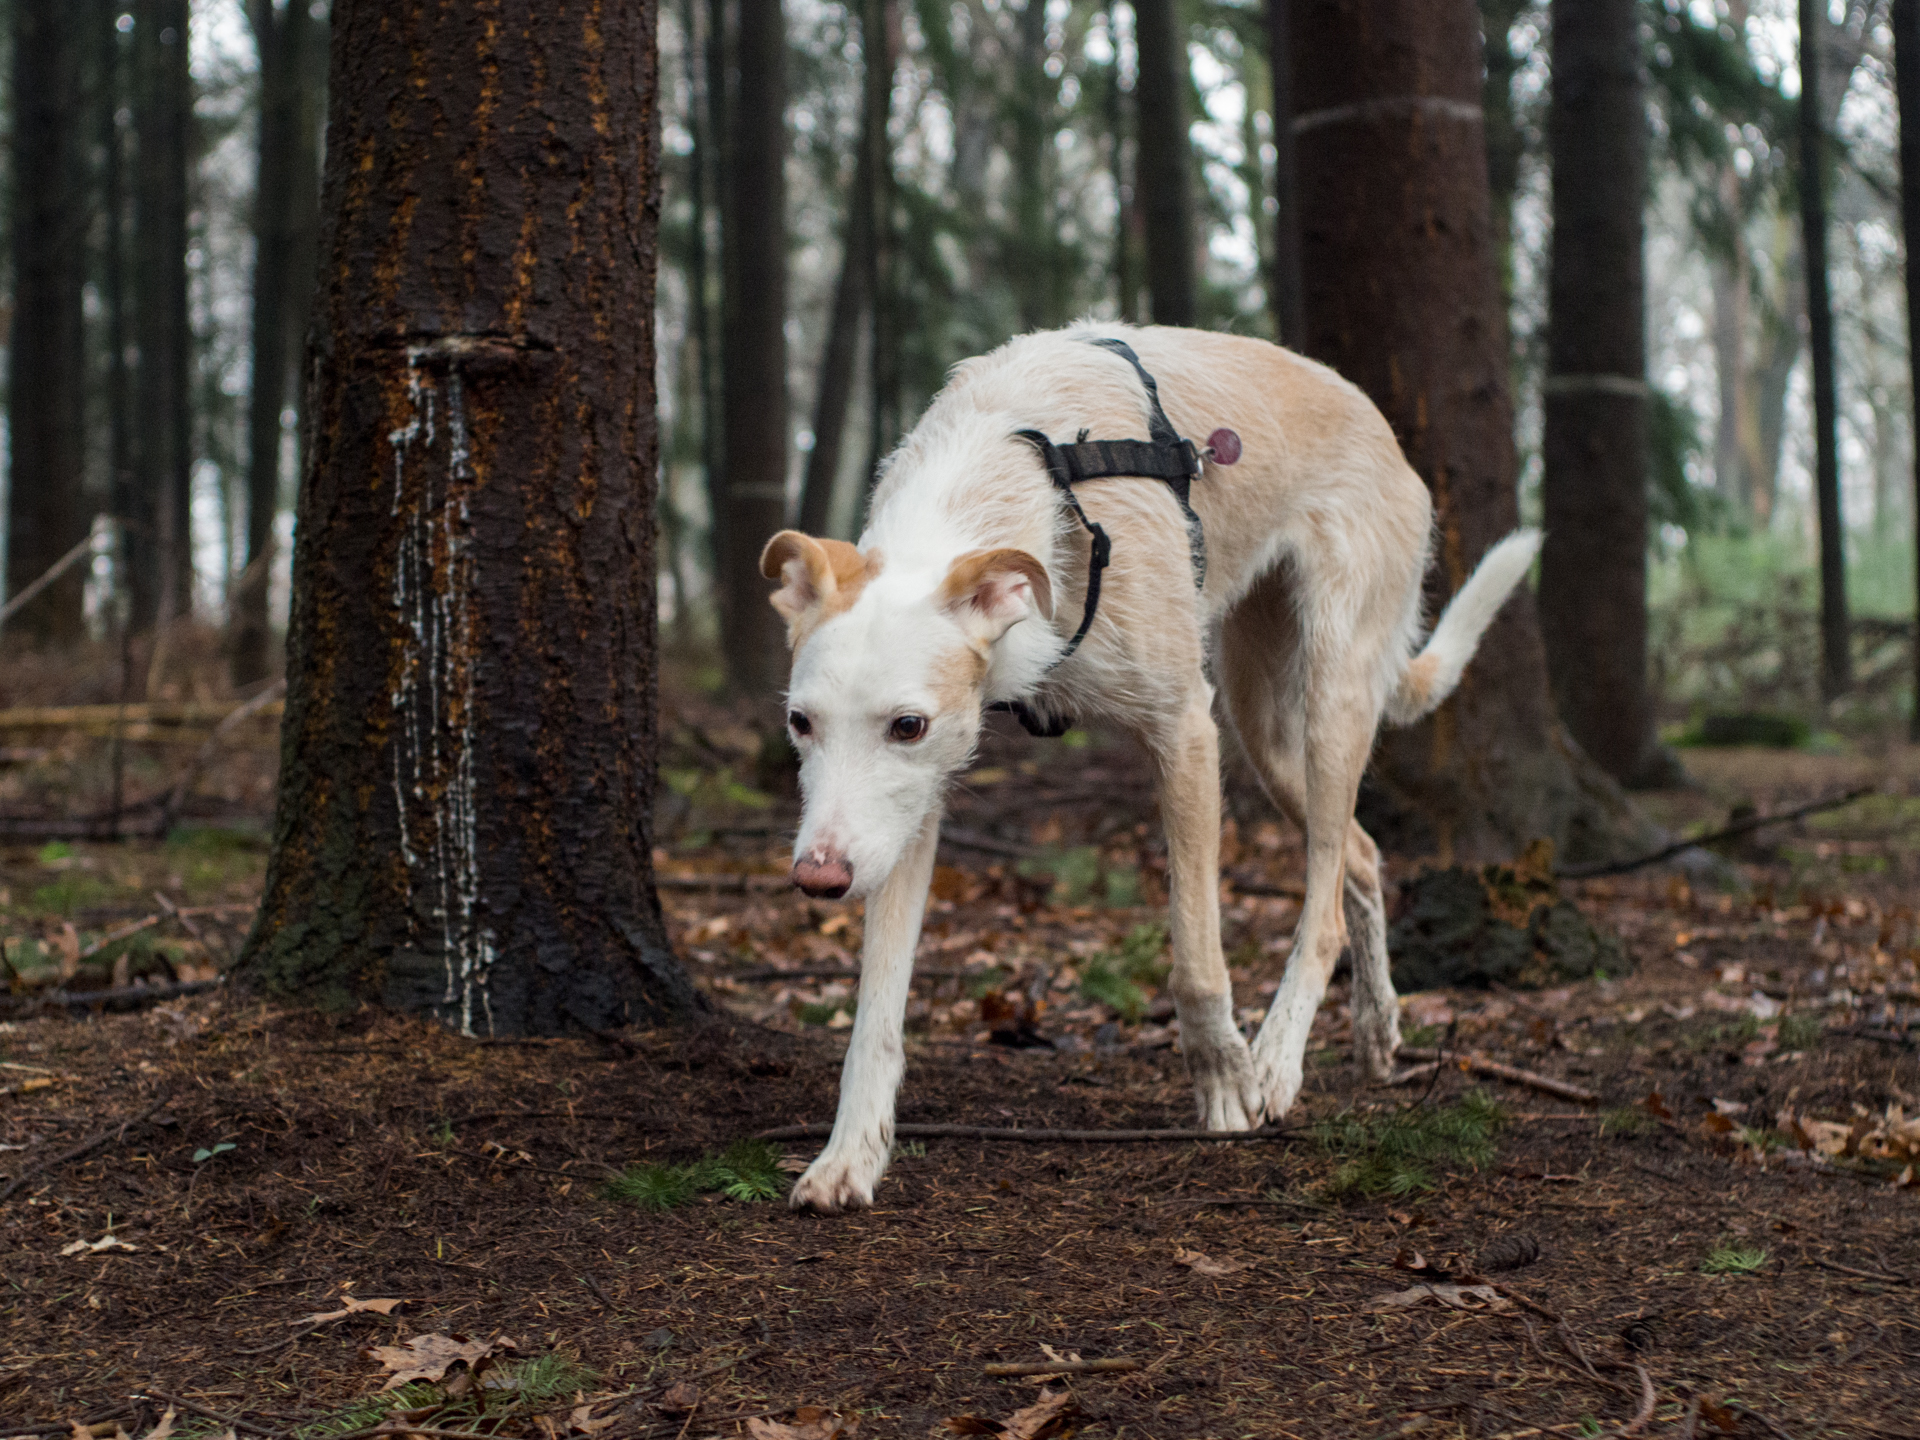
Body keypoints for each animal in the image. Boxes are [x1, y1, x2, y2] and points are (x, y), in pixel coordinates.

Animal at [756, 320, 1536, 1213]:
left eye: (906, 725)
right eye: (800, 723)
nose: (818, 878)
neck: (1022, 458)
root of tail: (1385, 430)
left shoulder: (1184, 731)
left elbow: (1196, 961)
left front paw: (1225, 1082)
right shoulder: (912, 808)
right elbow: (875, 1015)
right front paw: (850, 1153)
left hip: (1329, 697)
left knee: (1325, 907)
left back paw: (1276, 1060)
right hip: (1263, 729)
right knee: (1360, 857)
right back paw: (1376, 1032)